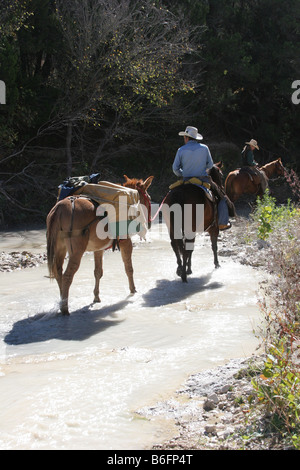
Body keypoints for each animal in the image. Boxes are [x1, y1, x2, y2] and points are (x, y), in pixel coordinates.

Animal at [47, 176, 155, 316]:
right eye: (149, 197)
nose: (149, 221)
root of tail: (60, 208)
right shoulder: (126, 242)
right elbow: (129, 268)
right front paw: (133, 290)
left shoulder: (98, 249)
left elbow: (98, 272)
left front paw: (96, 297)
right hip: (76, 252)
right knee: (67, 276)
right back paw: (65, 308)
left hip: (60, 248)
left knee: (58, 272)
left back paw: (62, 301)